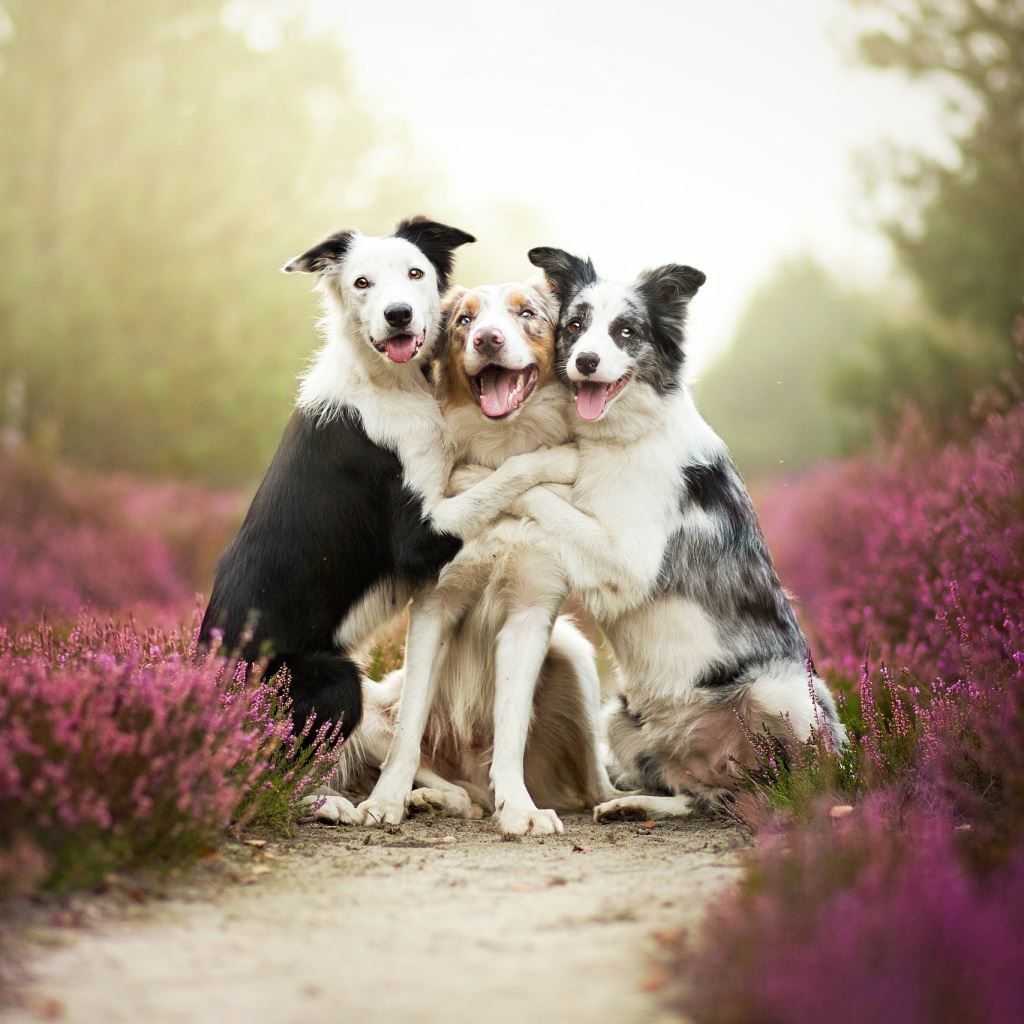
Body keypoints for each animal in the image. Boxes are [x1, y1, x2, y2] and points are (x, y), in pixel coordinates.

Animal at [195, 220, 573, 745]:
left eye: (415, 273)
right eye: (362, 283)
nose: (399, 315)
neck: (389, 383)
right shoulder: (418, 535)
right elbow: (510, 471)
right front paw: (563, 458)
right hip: (333, 680)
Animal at [512, 243, 847, 819]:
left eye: (626, 331)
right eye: (575, 325)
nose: (586, 361)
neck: (622, 441)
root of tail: (731, 768)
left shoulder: (627, 560)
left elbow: (547, 501)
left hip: (782, 690)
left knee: (801, 782)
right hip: (620, 717)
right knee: (691, 797)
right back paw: (635, 805)